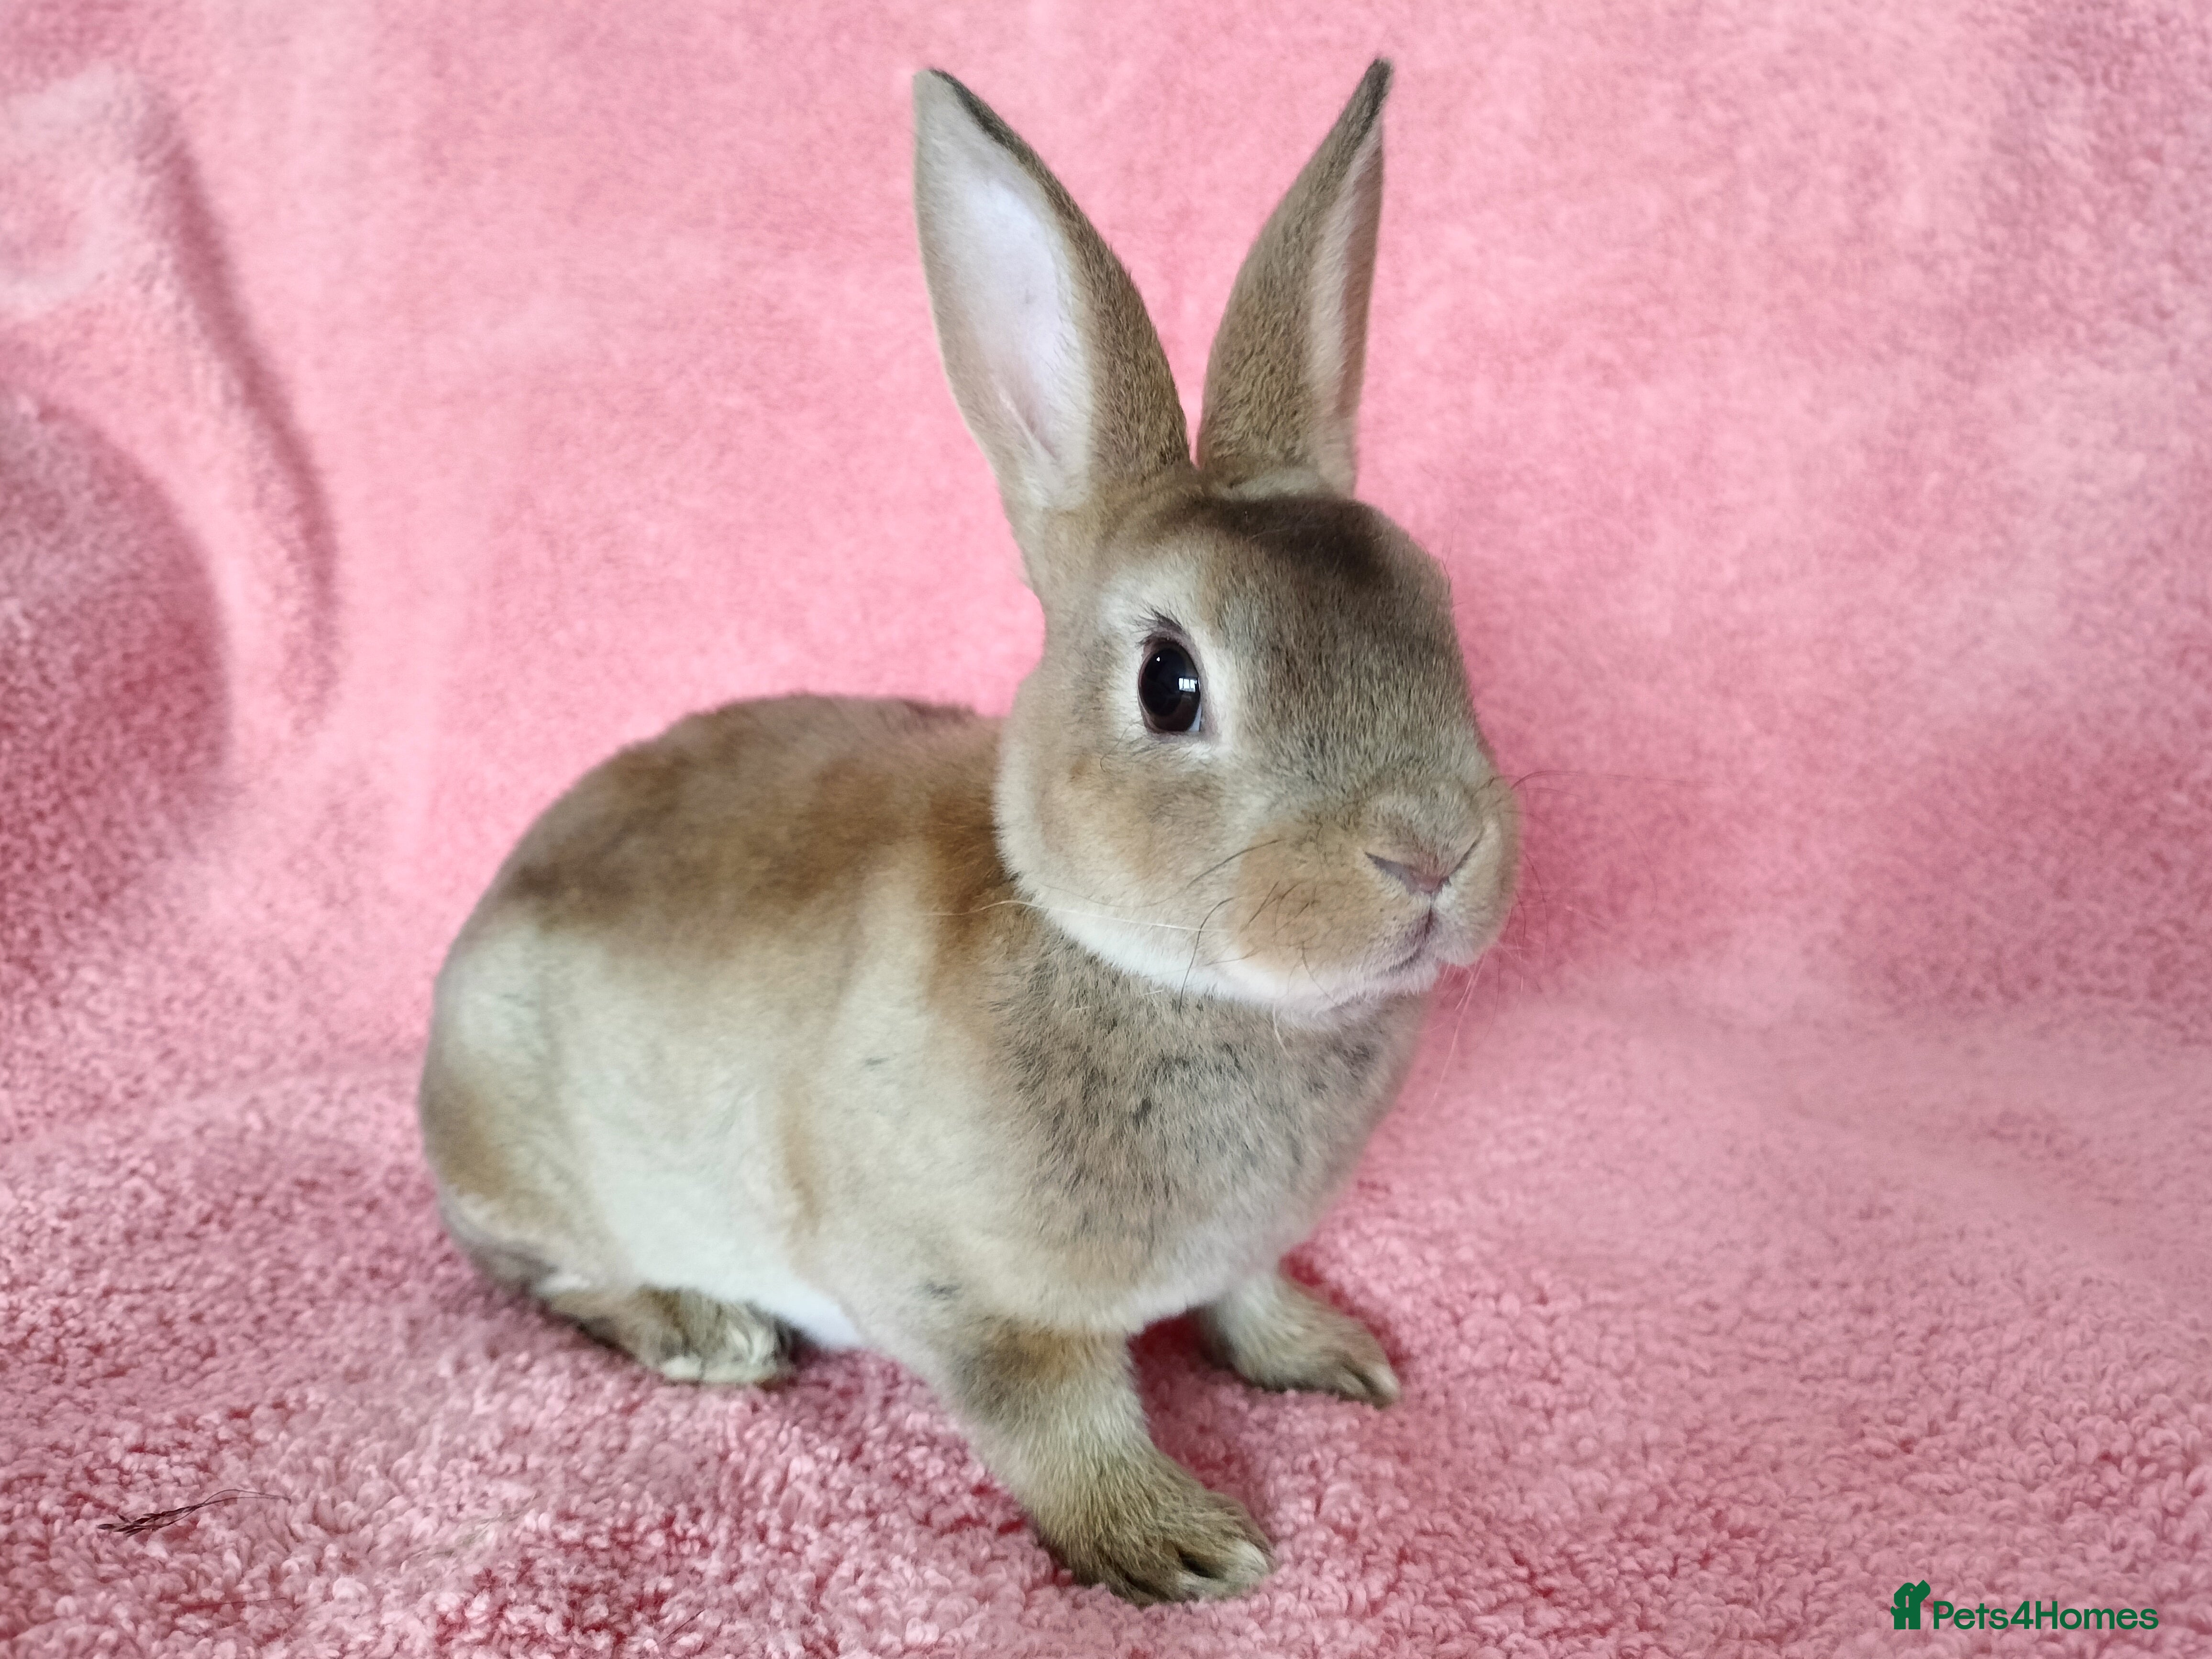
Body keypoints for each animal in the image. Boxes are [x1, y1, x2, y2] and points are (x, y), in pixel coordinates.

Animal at [418, 58, 1519, 1604]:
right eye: (1168, 683)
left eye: (1434, 611)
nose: (1431, 852)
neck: (1121, 954)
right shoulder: (970, 1301)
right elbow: (1056, 1416)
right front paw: (1180, 1541)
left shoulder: (1237, 1250)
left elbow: (1244, 1295)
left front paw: (1330, 1355)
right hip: (539, 1161)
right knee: (547, 1276)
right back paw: (705, 1331)